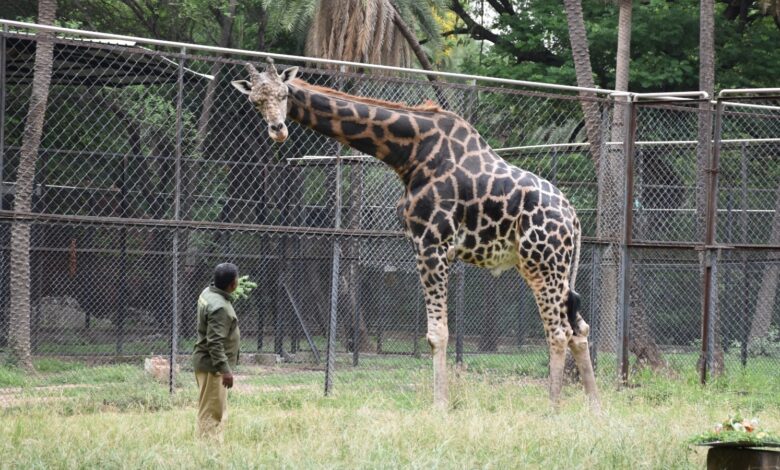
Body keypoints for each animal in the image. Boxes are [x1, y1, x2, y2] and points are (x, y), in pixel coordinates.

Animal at [232, 62, 601, 411]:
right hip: (551, 267)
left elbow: (437, 333)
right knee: (579, 329)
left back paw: (552, 407)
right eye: (255, 101)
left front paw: (439, 405)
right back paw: (593, 408)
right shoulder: (423, 244)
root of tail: (574, 219)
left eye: (284, 94)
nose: (278, 130)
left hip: (543, 263)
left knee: (558, 331)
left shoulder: (431, 242)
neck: (407, 154)